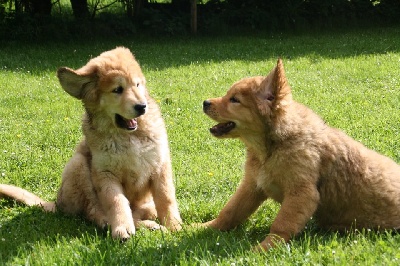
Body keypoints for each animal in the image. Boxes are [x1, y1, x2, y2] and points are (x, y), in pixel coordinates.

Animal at [0, 46, 181, 240]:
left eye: (137, 85)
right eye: (117, 89)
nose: (142, 107)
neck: (128, 136)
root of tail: (58, 202)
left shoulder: (160, 165)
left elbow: (166, 197)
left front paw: (175, 226)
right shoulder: (105, 173)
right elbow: (116, 201)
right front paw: (122, 228)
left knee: (143, 212)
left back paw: (152, 225)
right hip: (77, 165)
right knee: (94, 212)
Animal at [202, 58, 400, 251]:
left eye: (234, 100)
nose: (205, 102)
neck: (271, 148)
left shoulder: (302, 193)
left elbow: (281, 225)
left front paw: (263, 249)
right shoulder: (252, 186)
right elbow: (230, 212)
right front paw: (203, 227)